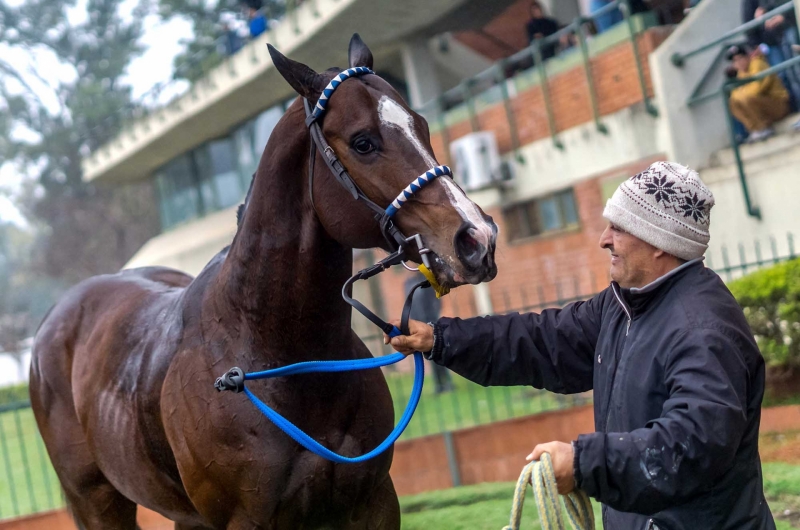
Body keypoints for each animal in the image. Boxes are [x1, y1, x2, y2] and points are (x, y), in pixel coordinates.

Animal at [31, 35, 496, 524]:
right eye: (363, 142)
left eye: (421, 125)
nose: (475, 237)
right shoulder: (245, 519)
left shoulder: (373, 503)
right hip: (96, 500)